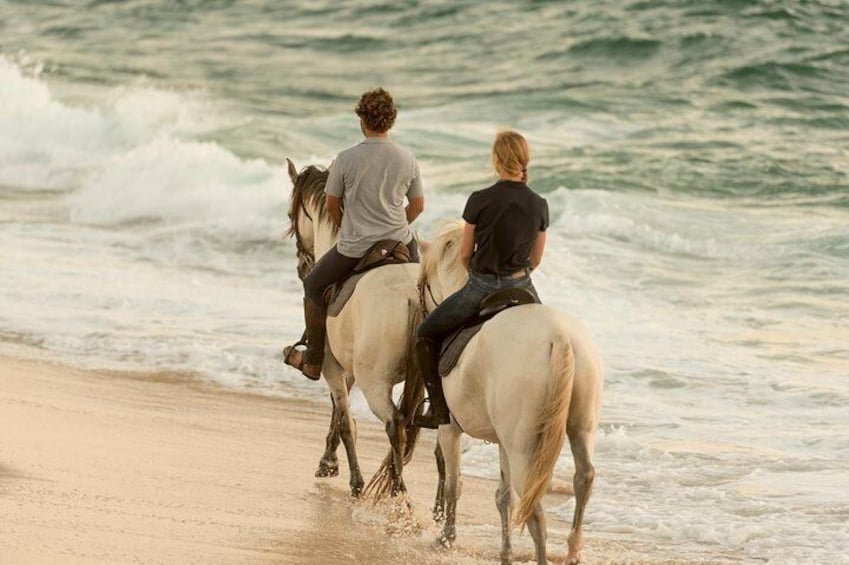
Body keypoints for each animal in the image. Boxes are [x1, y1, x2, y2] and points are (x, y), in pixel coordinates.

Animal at [284, 160, 420, 498]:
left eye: (291, 217)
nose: (302, 267)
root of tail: (412, 295)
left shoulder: (331, 365)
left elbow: (344, 419)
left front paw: (355, 481)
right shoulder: (348, 367)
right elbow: (339, 413)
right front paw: (328, 462)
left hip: (376, 383)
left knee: (395, 424)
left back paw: (397, 492)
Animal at [400, 220, 600, 564]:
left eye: (421, 283)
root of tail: (558, 338)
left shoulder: (449, 429)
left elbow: (454, 484)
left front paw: (447, 537)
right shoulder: (502, 441)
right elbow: (503, 497)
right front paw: (505, 551)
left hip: (523, 445)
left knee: (534, 508)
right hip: (579, 426)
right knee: (583, 479)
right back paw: (573, 548)